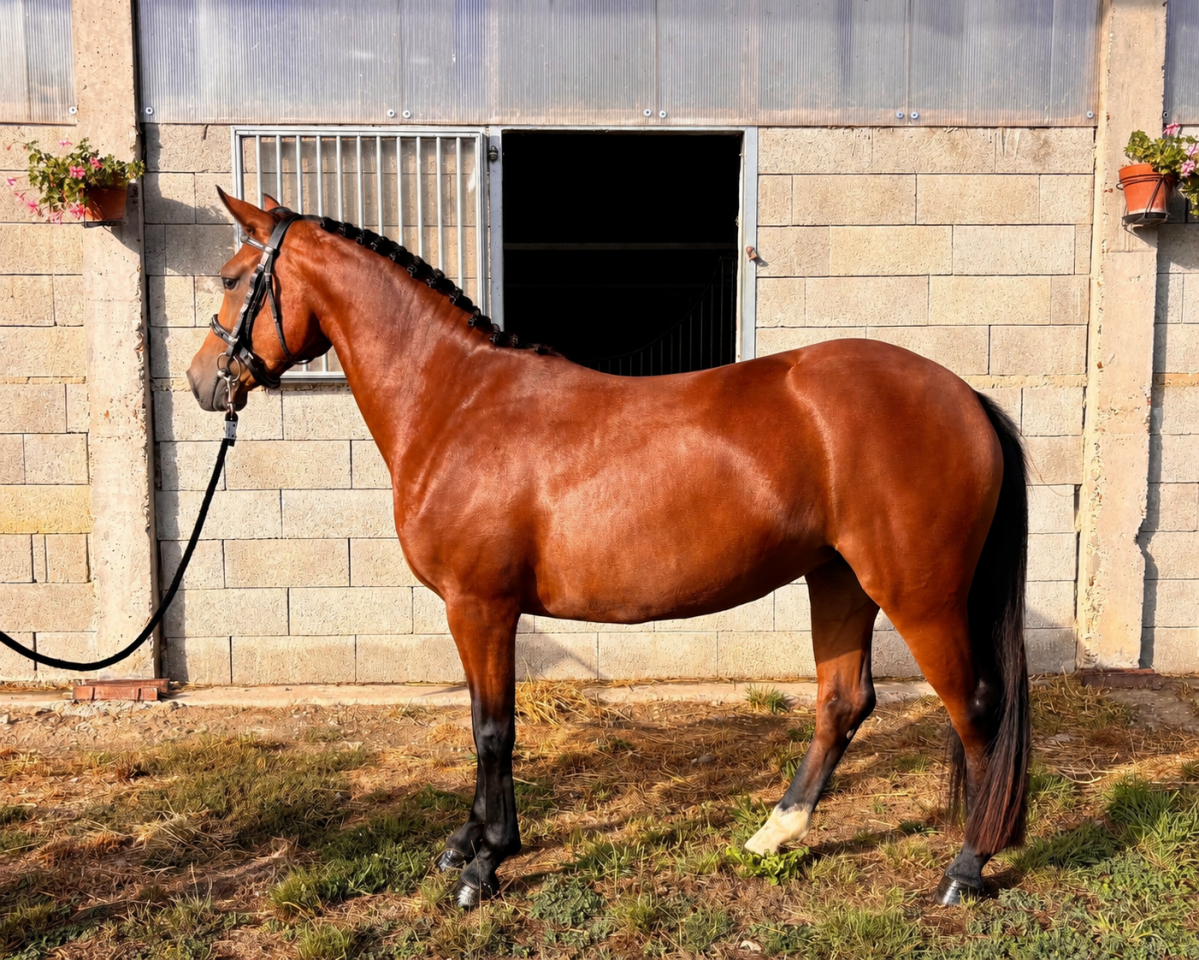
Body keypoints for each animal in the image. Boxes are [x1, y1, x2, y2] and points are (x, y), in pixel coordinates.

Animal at [186, 189, 1030, 909]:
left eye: (231, 279)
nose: (202, 382)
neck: (455, 401)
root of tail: (963, 397)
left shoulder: (481, 606)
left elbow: (493, 729)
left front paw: (489, 860)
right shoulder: (475, 611)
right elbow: (480, 721)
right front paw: (466, 842)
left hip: (918, 595)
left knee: (975, 709)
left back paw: (966, 867)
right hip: (839, 579)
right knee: (843, 702)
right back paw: (774, 834)